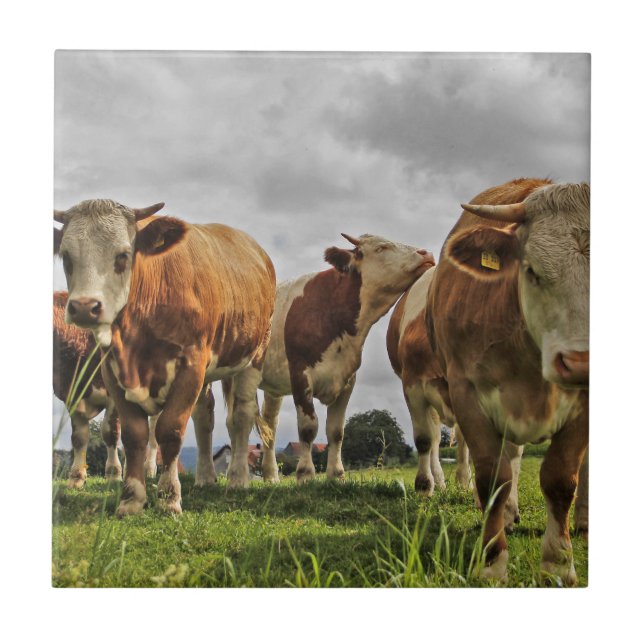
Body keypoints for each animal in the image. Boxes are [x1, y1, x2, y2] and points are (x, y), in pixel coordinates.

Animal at [54, 291, 162, 487]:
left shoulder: (114, 393)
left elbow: (110, 432)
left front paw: (113, 473)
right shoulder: (72, 397)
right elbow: (79, 437)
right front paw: (76, 477)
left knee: (153, 430)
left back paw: (149, 469)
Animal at [256, 233, 435, 482]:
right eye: (381, 248)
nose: (426, 253)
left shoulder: (347, 379)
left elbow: (336, 431)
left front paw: (336, 474)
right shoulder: (300, 374)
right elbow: (308, 428)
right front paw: (305, 473)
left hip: (273, 386)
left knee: (269, 425)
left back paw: (271, 476)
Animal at [387, 268, 523, 527]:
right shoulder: (413, 387)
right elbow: (424, 440)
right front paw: (424, 486)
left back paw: (463, 481)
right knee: (434, 440)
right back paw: (438, 481)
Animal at [420, 178, 589, 585]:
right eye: (531, 270)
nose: (580, 362)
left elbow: (561, 479)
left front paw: (558, 563)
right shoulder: (466, 391)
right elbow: (494, 478)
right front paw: (492, 562)